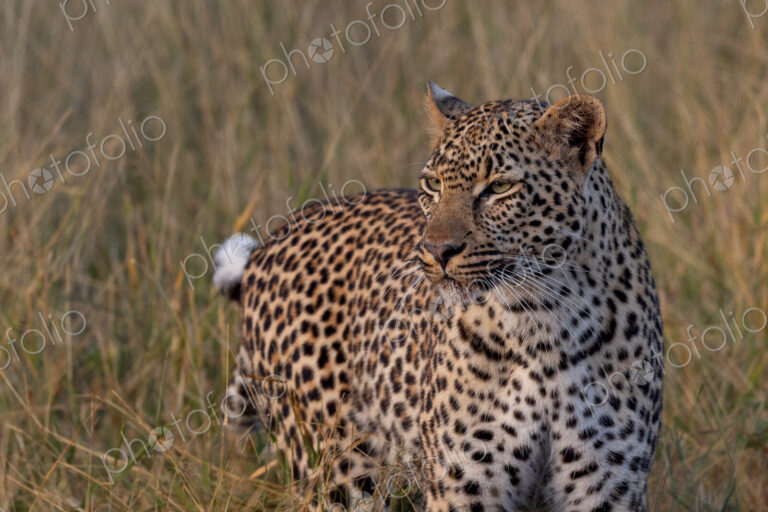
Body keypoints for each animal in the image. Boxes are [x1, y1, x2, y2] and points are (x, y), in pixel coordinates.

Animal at [214, 82, 664, 512]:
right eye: (433, 184)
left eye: (500, 186)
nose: (435, 251)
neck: (541, 321)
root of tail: (274, 239)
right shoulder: (463, 486)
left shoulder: (606, 486)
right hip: (335, 472)